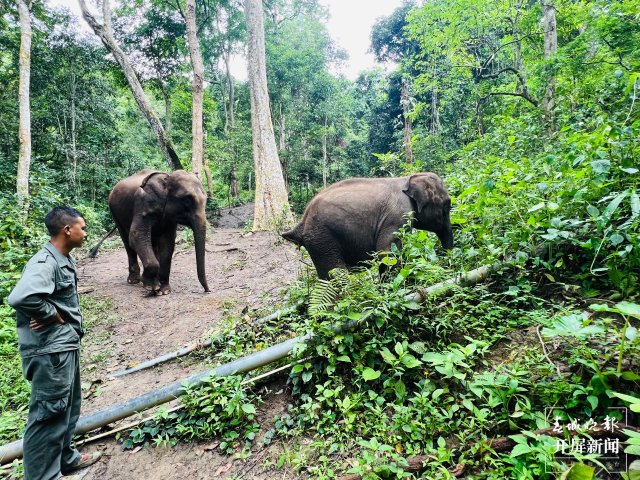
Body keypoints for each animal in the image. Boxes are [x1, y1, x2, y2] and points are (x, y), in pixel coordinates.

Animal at [282, 172, 456, 280]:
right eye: (447, 205)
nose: (447, 265)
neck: (409, 178)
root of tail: (302, 221)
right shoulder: (397, 216)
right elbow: (386, 252)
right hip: (322, 238)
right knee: (335, 274)